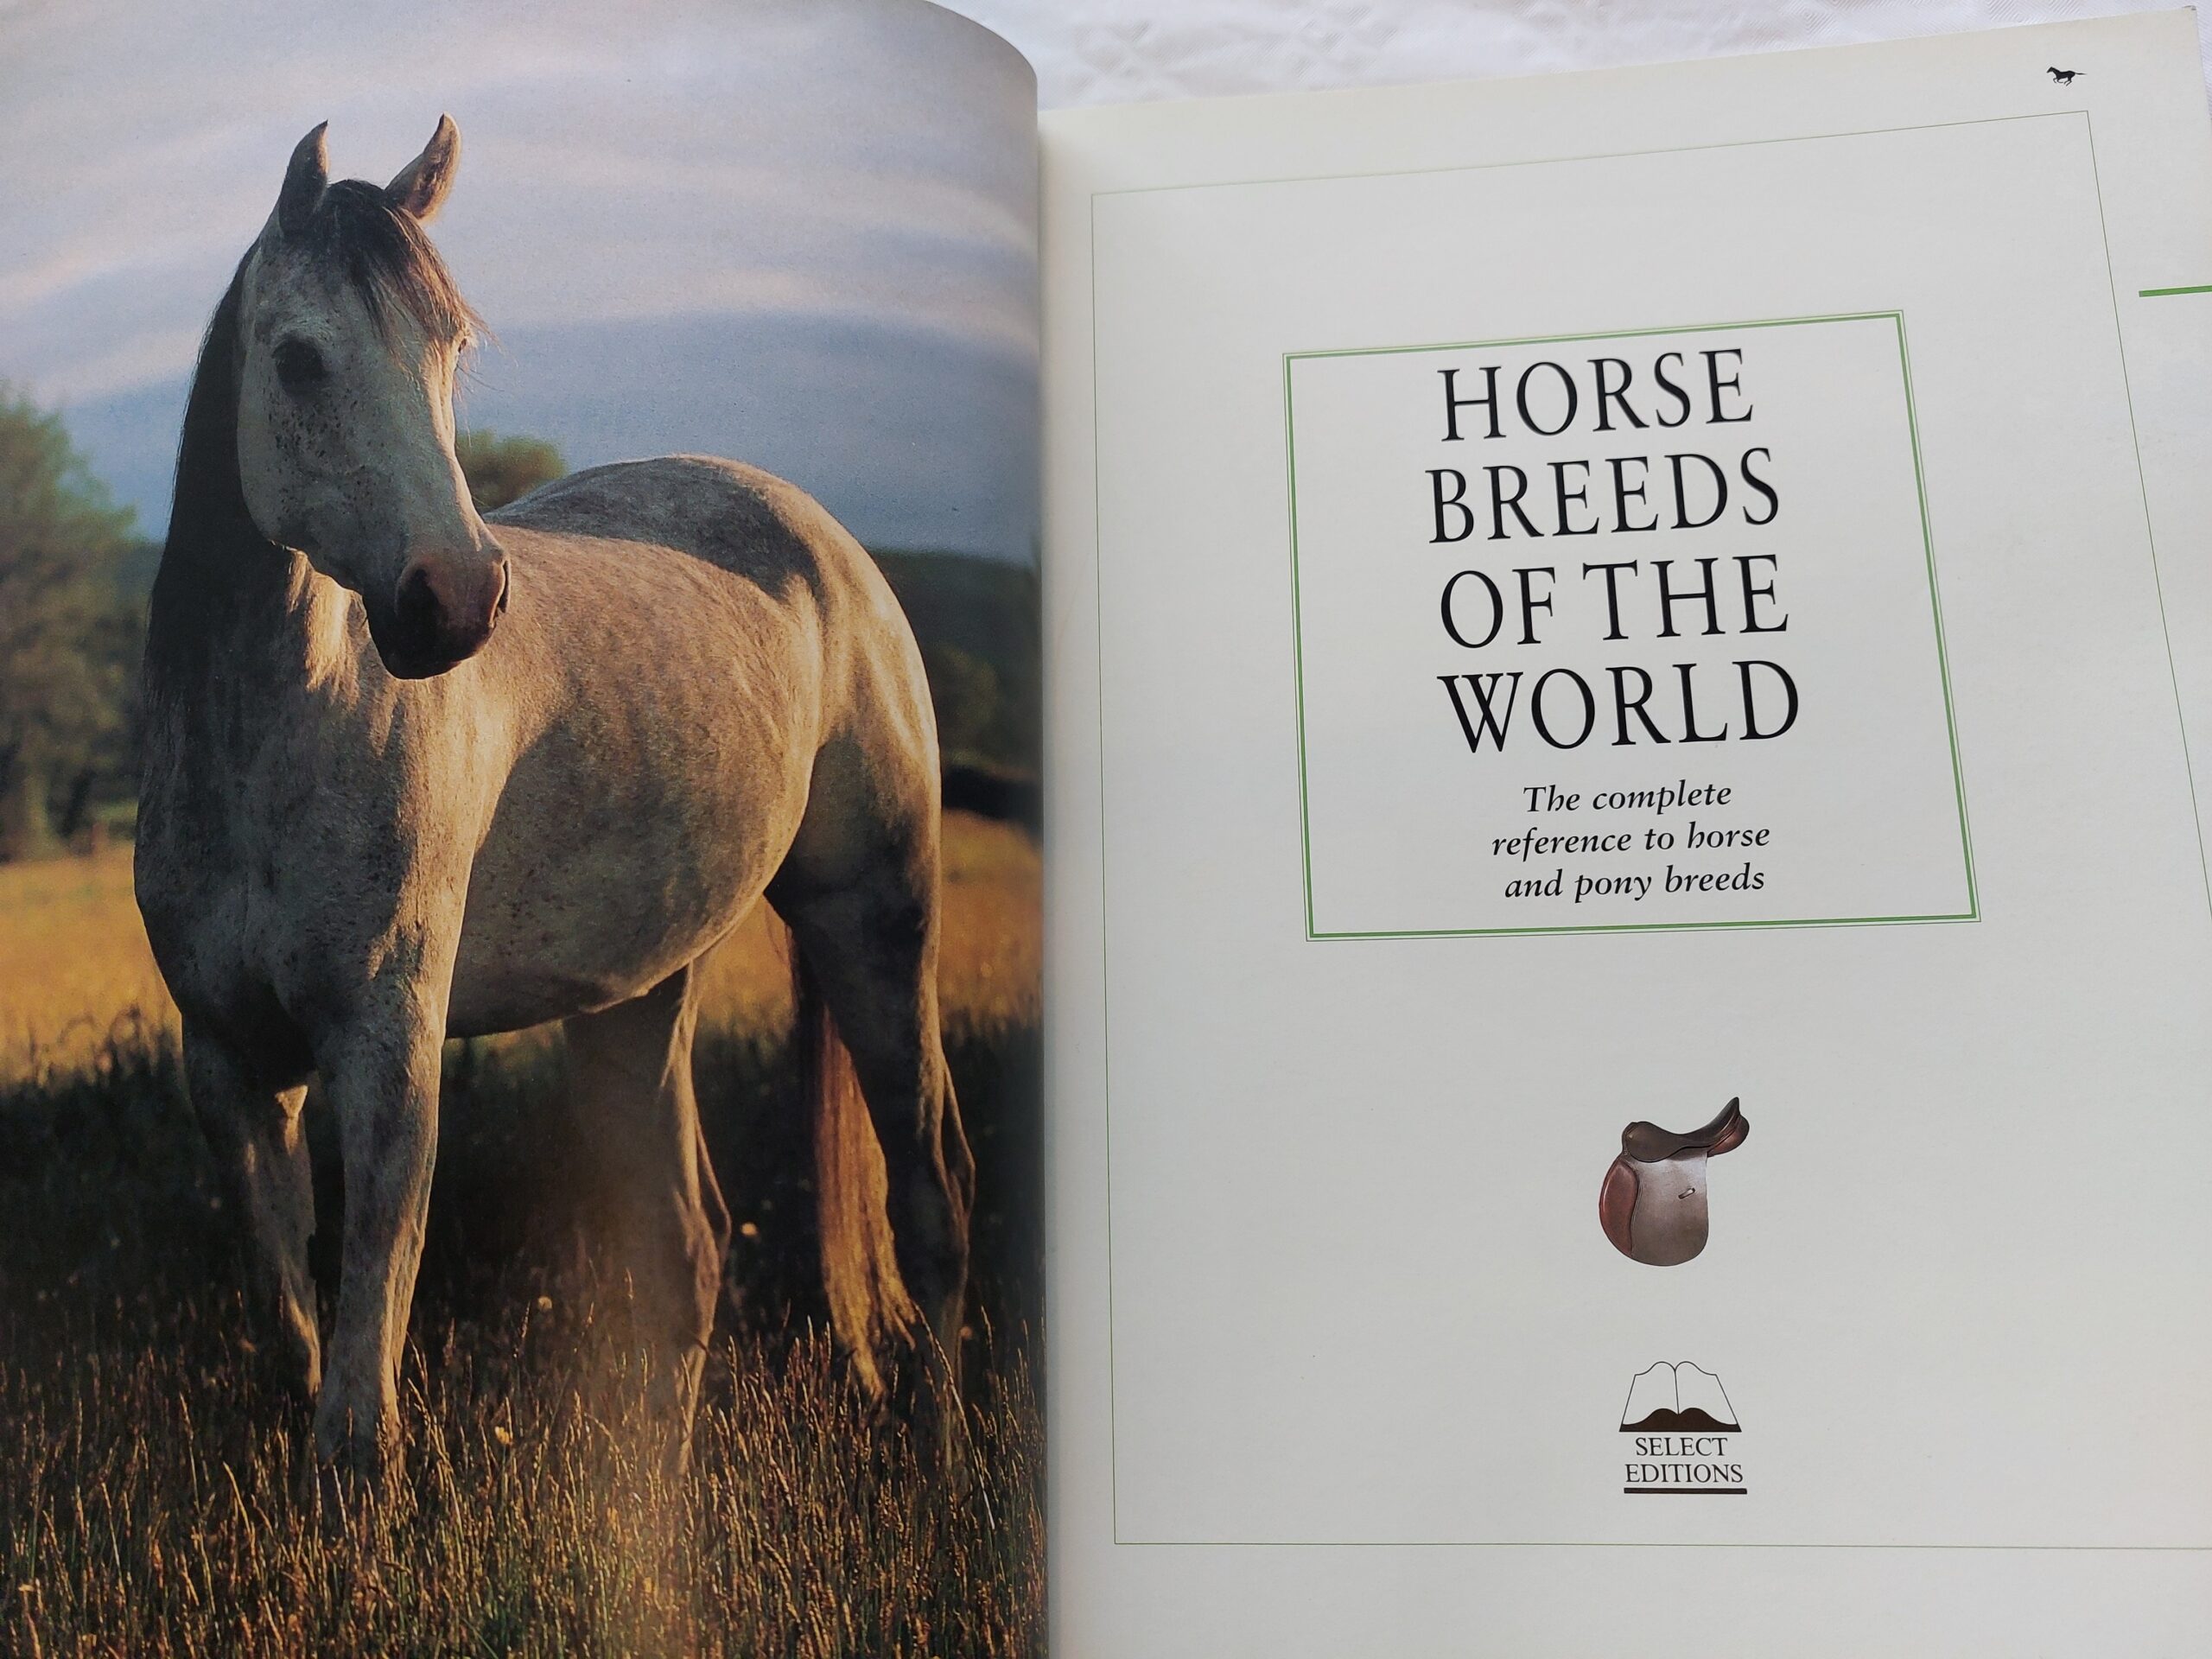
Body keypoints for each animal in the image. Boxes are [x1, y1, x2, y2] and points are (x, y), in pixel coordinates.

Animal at [133, 117, 974, 1491]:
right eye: (299, 358)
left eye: (450, 350)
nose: (458, 601)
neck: (267, 744)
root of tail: (829, 547)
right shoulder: (230, 1065)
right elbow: (291, 1327)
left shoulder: (388, 1047)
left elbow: (365, 1355)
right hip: (638, 998)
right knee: (690, 1247)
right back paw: (656, 1498)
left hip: (875, 924)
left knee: (933, 1198)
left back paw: (940, 1457)